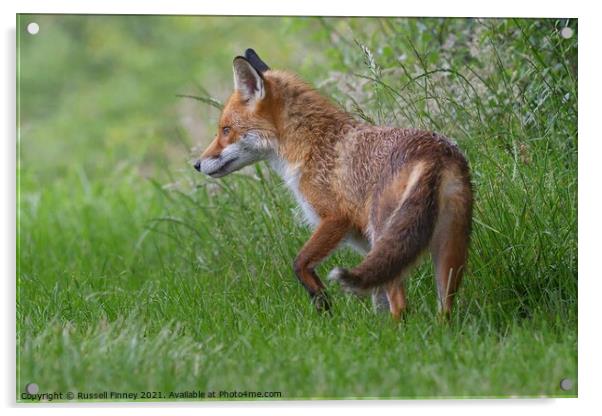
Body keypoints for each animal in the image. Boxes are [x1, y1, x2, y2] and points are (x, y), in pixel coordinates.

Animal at [195, 50, 472, 320]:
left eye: (225, 130)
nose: (197, 164)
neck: (311, 146)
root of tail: (435, 153)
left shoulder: (335, 218)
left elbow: (300, 263)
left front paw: (323, 303)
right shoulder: (369, 248)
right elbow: (376, 296)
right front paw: (375, 331)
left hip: (389, 231)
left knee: (401, 306)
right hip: (448, 250)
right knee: (444, 309)